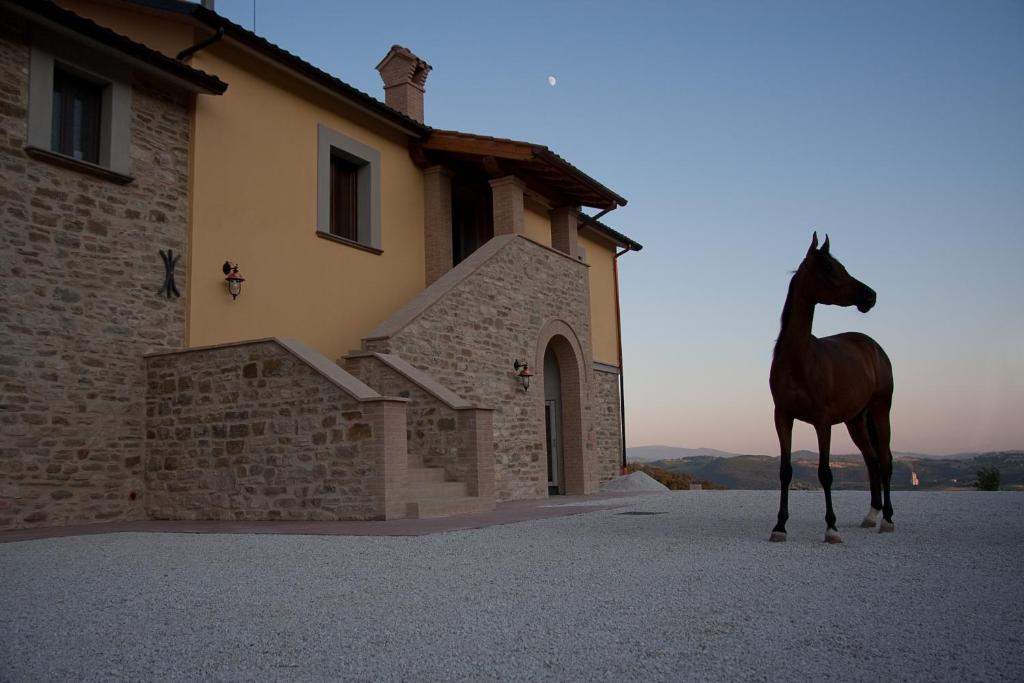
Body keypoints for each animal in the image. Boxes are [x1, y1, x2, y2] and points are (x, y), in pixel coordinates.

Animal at [765, 235, 892, 544]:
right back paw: (872, 515)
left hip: (881, 407)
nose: (870, 296)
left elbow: (825, 473)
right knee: (871, 459)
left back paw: (888, 520)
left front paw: (831, 528)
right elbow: (785, 471)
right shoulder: (782, 416)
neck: (799, 361)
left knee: (885, 460)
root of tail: (873, 347)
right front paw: (780, 525)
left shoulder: (822, 421)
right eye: (830, 269)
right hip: (856, 419)